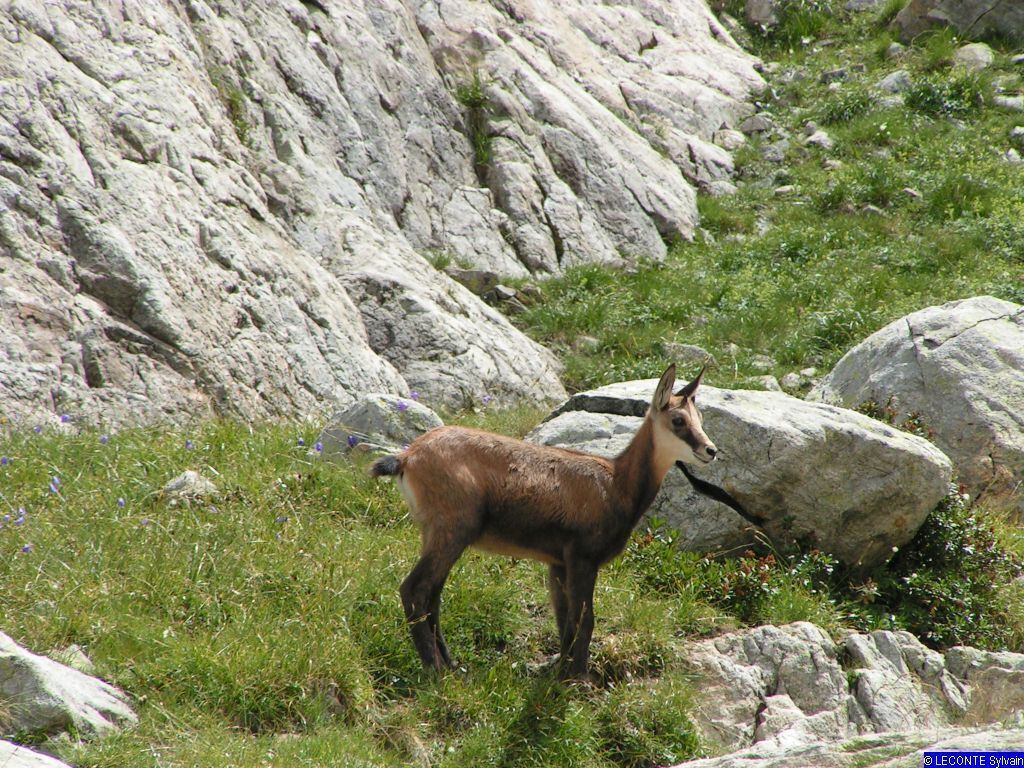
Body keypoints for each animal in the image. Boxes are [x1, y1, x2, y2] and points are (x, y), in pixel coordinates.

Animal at [370, 364, 717, 680]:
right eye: (678, 420)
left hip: (437, 532)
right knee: (415, 589)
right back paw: (435, 671)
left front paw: (561, 674)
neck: (617, 484)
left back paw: (452, 665)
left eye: (700, 419)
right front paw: (579, 680)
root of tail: (408, 457)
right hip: (454, 529)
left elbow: (565, 619)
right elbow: (585, 618)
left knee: (433, 595)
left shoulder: (558, 564)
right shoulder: (582, 558)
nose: (710, 450)